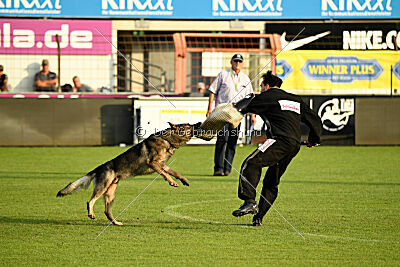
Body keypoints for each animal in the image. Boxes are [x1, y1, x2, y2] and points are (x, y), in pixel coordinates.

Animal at [56, 123, 200, 226]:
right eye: (188, 125)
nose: (198, 123)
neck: (167, 139)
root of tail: (99, 167)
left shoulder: (162, 165)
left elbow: (173, 172)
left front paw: (183, 180)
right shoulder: (153, 163)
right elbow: (165, 174)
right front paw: (172, 182)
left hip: (111, 193)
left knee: (107, 211)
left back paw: (116, 222)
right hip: (102, 187)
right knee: (90, 201)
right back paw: (91, 213)